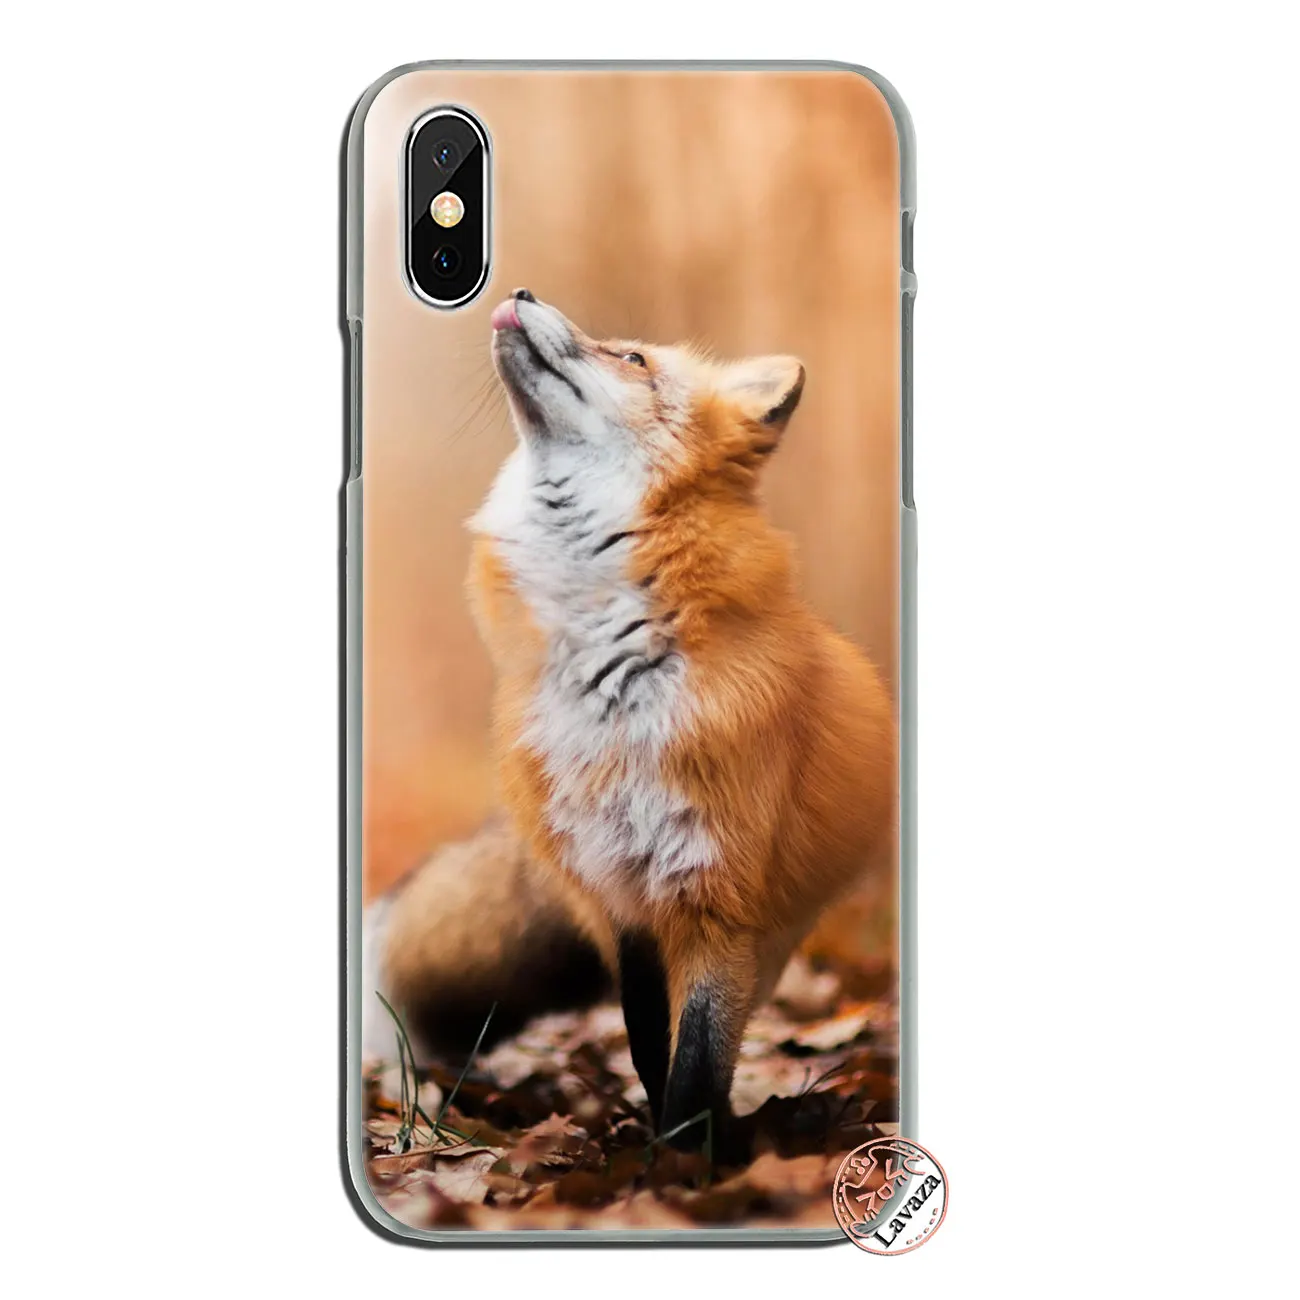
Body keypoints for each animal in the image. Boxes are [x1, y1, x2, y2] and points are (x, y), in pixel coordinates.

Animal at [363, 290, 896, 1158]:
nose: (520, 294)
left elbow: (698, 1058)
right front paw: (659, 1152)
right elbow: (652, 1046)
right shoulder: (622, 897)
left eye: (633, 358)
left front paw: (683, 1165)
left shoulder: (716, 895)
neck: (612, 684)